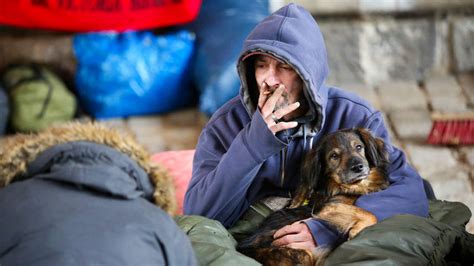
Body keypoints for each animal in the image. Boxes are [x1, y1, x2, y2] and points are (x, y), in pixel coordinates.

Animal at [237, 128, 388, 264]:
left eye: (359, 147)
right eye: (334, 156)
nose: (358, 167)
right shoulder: (331, 206)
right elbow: (368, 213)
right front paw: (357, 230)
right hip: (300, 254)